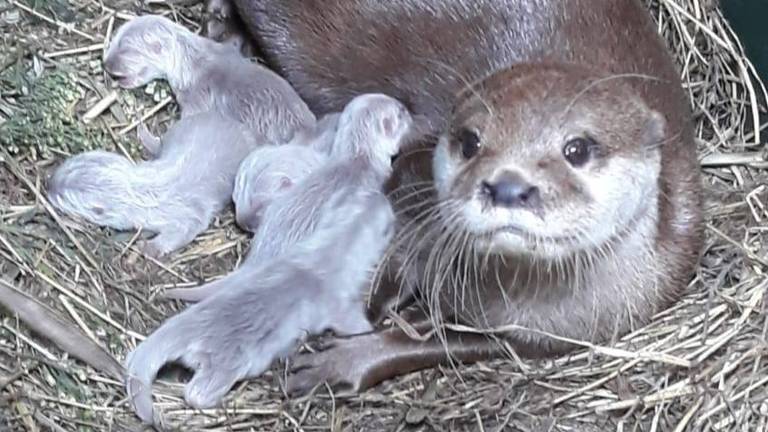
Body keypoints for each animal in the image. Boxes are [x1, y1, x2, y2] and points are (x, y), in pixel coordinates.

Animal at [210, 0, 704, 394]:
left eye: (577, 148)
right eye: (470, 141)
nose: (507, 186)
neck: (513, 300)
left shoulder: (535, 336)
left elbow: (430, 344)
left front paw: (345, 360)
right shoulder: (413, 168)